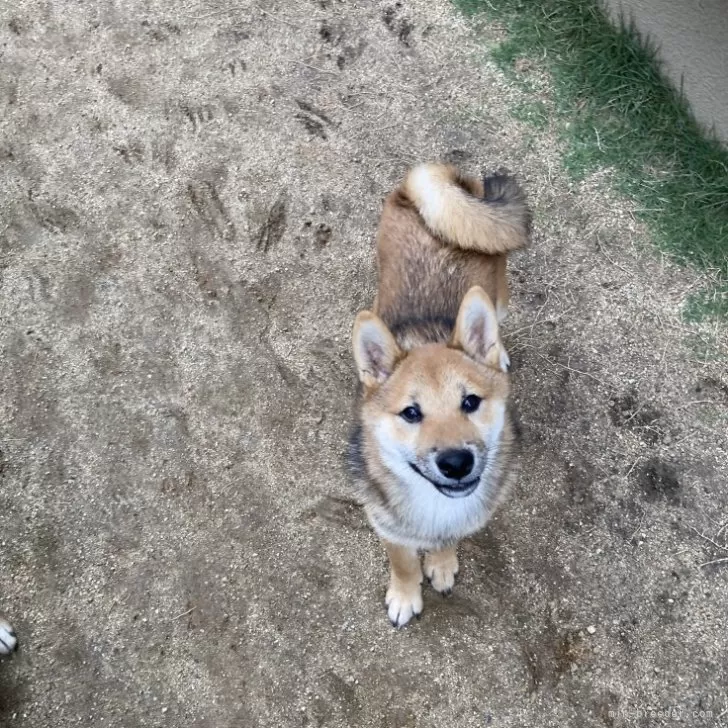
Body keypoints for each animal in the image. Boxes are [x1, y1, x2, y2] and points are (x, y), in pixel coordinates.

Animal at [348, 164, 528, 624]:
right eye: (411, 413)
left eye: (471, 402)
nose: (456, 463)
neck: (433, 503)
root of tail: (443, 176)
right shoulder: (387, 524)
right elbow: (403, 562)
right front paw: (405, 594)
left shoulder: (458, 521)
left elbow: (448, 541)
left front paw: (442, 564)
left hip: (499, 296)